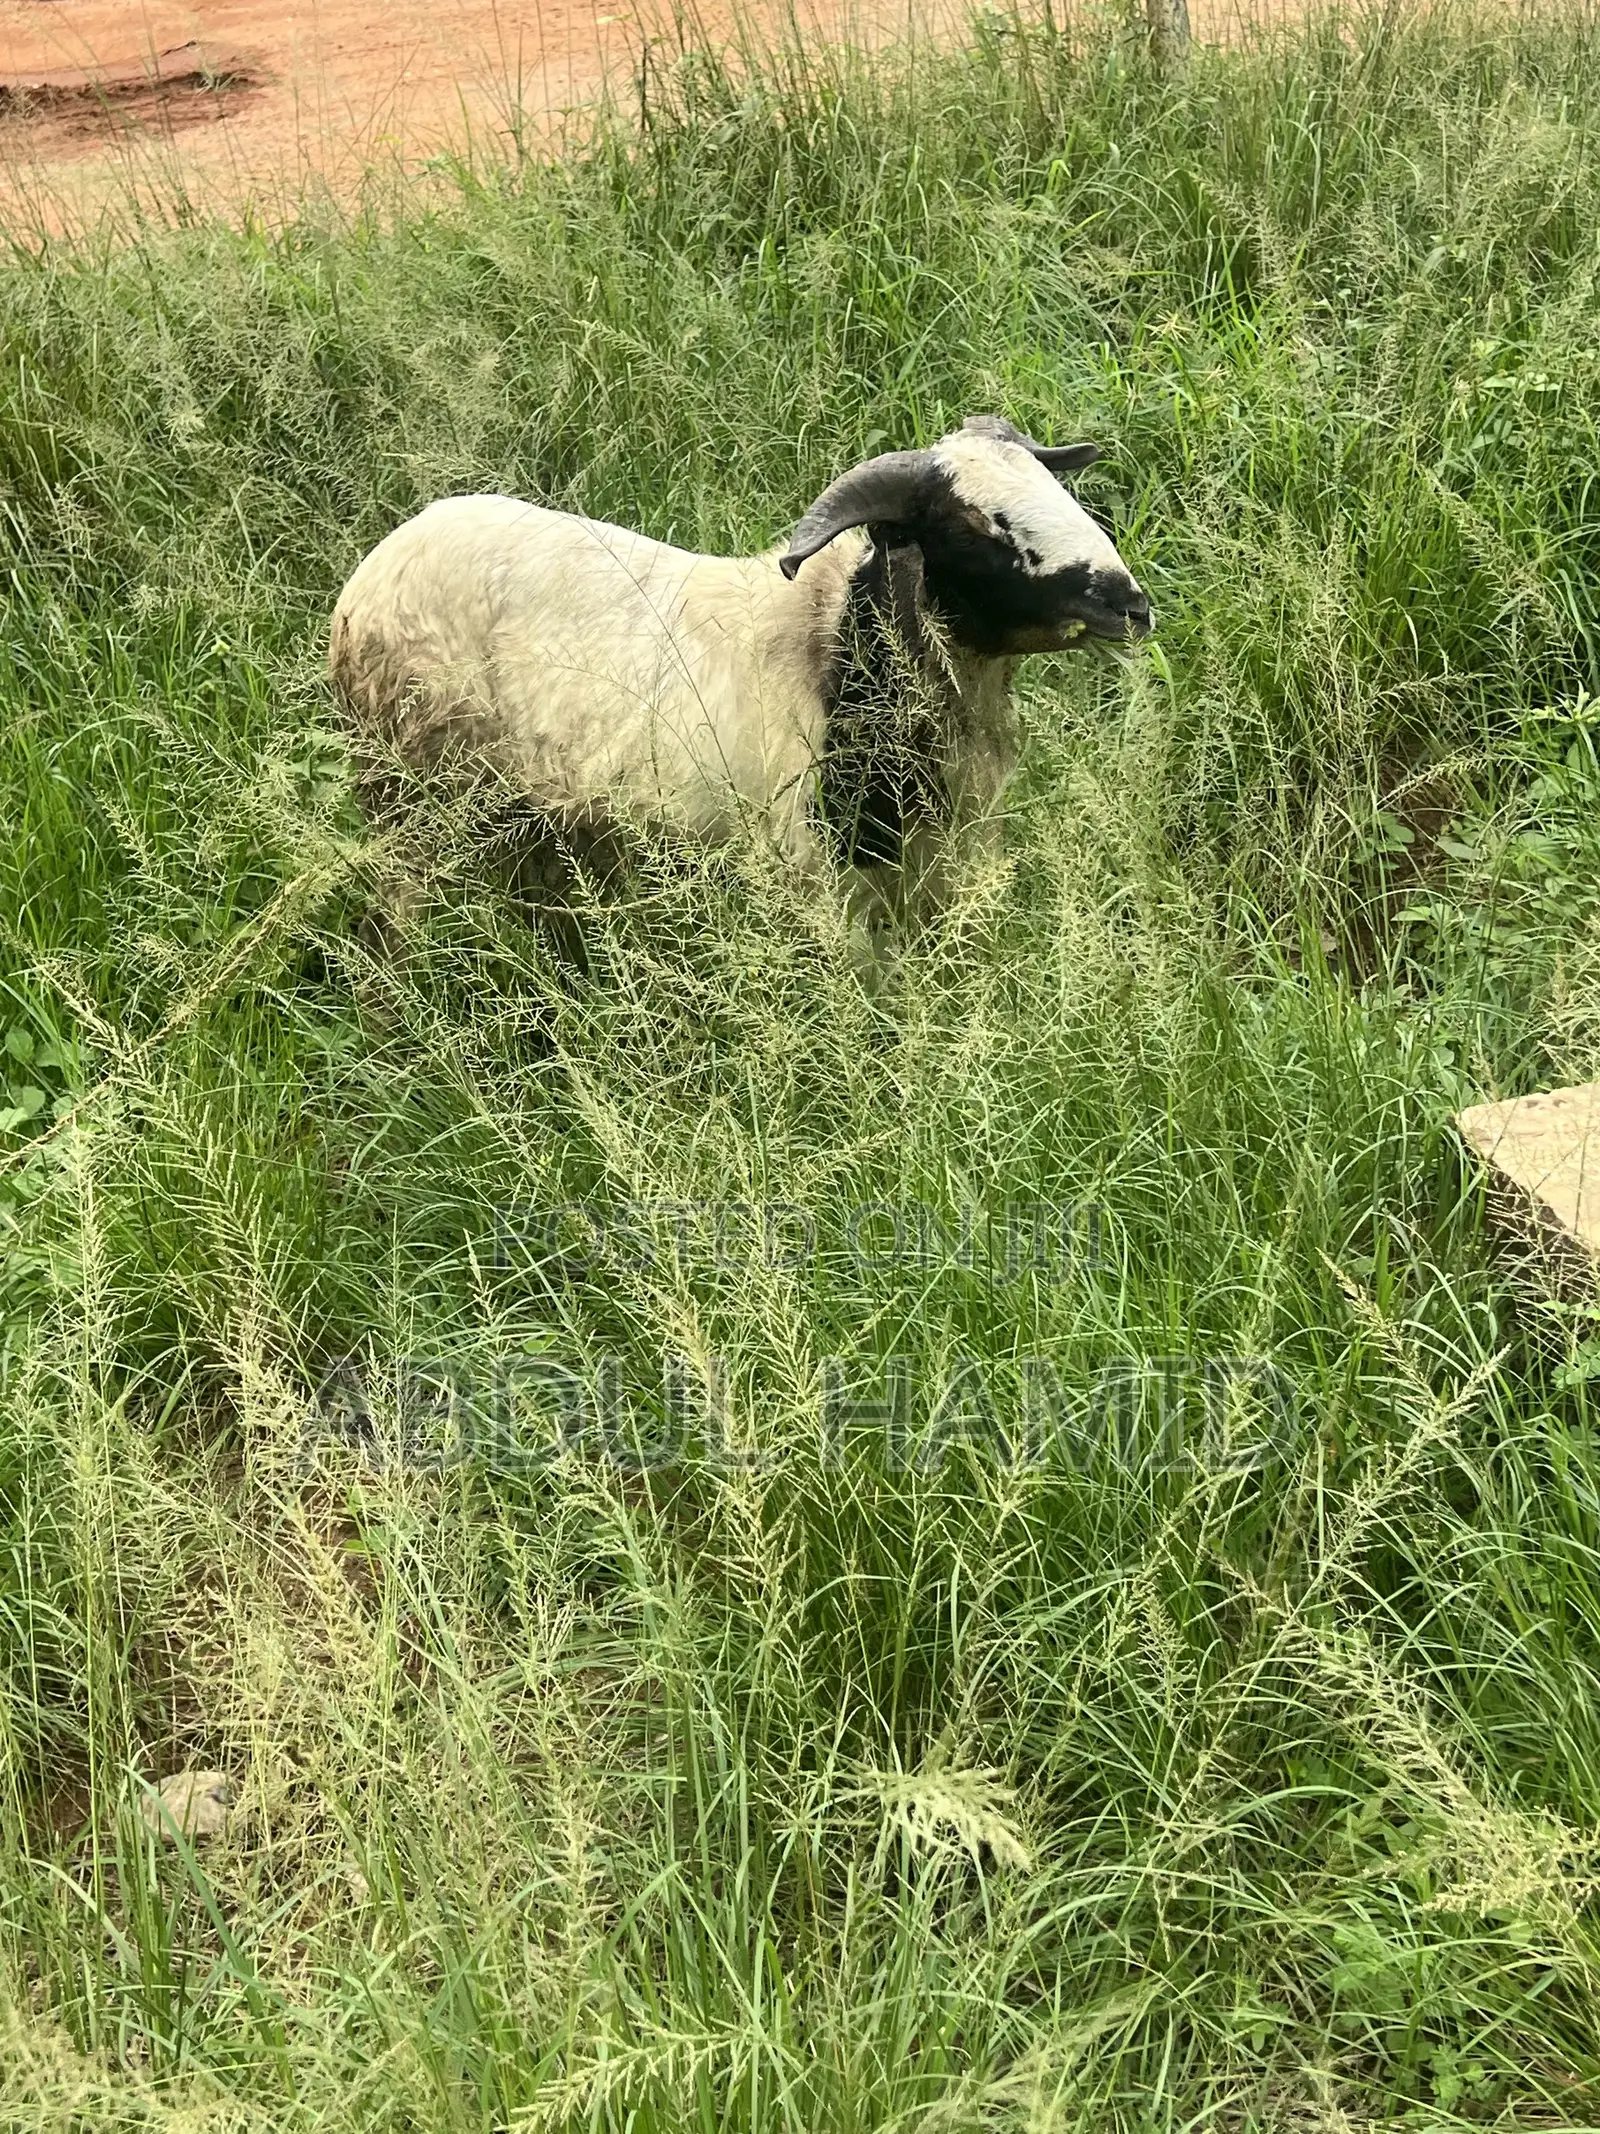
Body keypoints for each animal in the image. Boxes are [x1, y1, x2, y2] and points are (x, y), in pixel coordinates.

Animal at [329, 413, 1151, 926]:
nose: (1133, 606)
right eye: (973, 528)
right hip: (411, 805)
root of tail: (373, 570)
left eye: (1055, 485)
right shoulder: (812, 883)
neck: (836, 651)